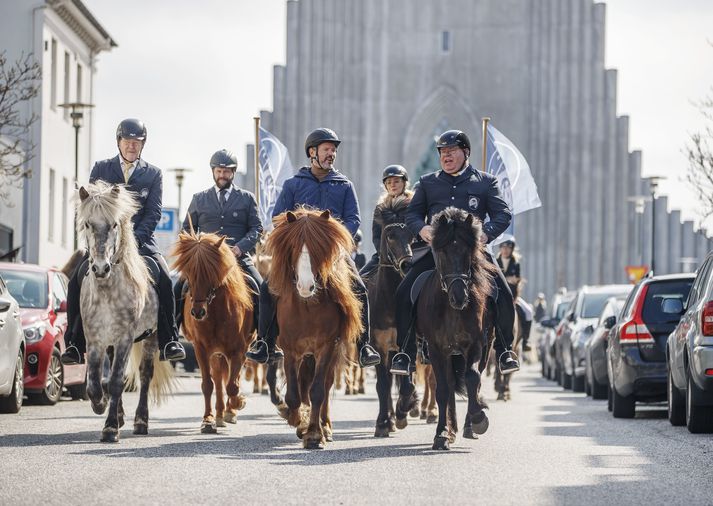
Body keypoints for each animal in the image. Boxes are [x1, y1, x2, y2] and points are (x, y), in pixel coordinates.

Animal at [75, 183, 174, 442]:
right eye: (87, 224)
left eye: (114, 224)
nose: (101, 268)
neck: (107, 289)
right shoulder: (95, 339)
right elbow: (95, 383)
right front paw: (100, 405)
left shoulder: (125, 338)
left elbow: (117, 381)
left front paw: (110, 428)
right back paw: (119, 415)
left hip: (151, 337)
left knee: (145, 375)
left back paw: (140, 422)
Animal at [171, 227, 254, 432]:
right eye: (189, 272)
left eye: (211, 272)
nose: (197, 312)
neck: (215, 310)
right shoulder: (201, 349)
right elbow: (208, 385)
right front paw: (207, 420)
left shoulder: (238, 350)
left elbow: (233, 385)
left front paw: (237, 404)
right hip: (216, 353)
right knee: (217, 379)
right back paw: (219, 414)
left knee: (230, 379)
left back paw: (229, 411)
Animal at [264, 208, 362, 448]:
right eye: (292, 248)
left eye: (320, 249)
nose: (306, 286)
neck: (307, 306)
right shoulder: (290, 350)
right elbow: (293, 394)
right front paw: (298, 419)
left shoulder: (326, 347)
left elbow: (318, 391)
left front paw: (314, 434)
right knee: (302, 385)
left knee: (324, 385)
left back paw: (324, 426)